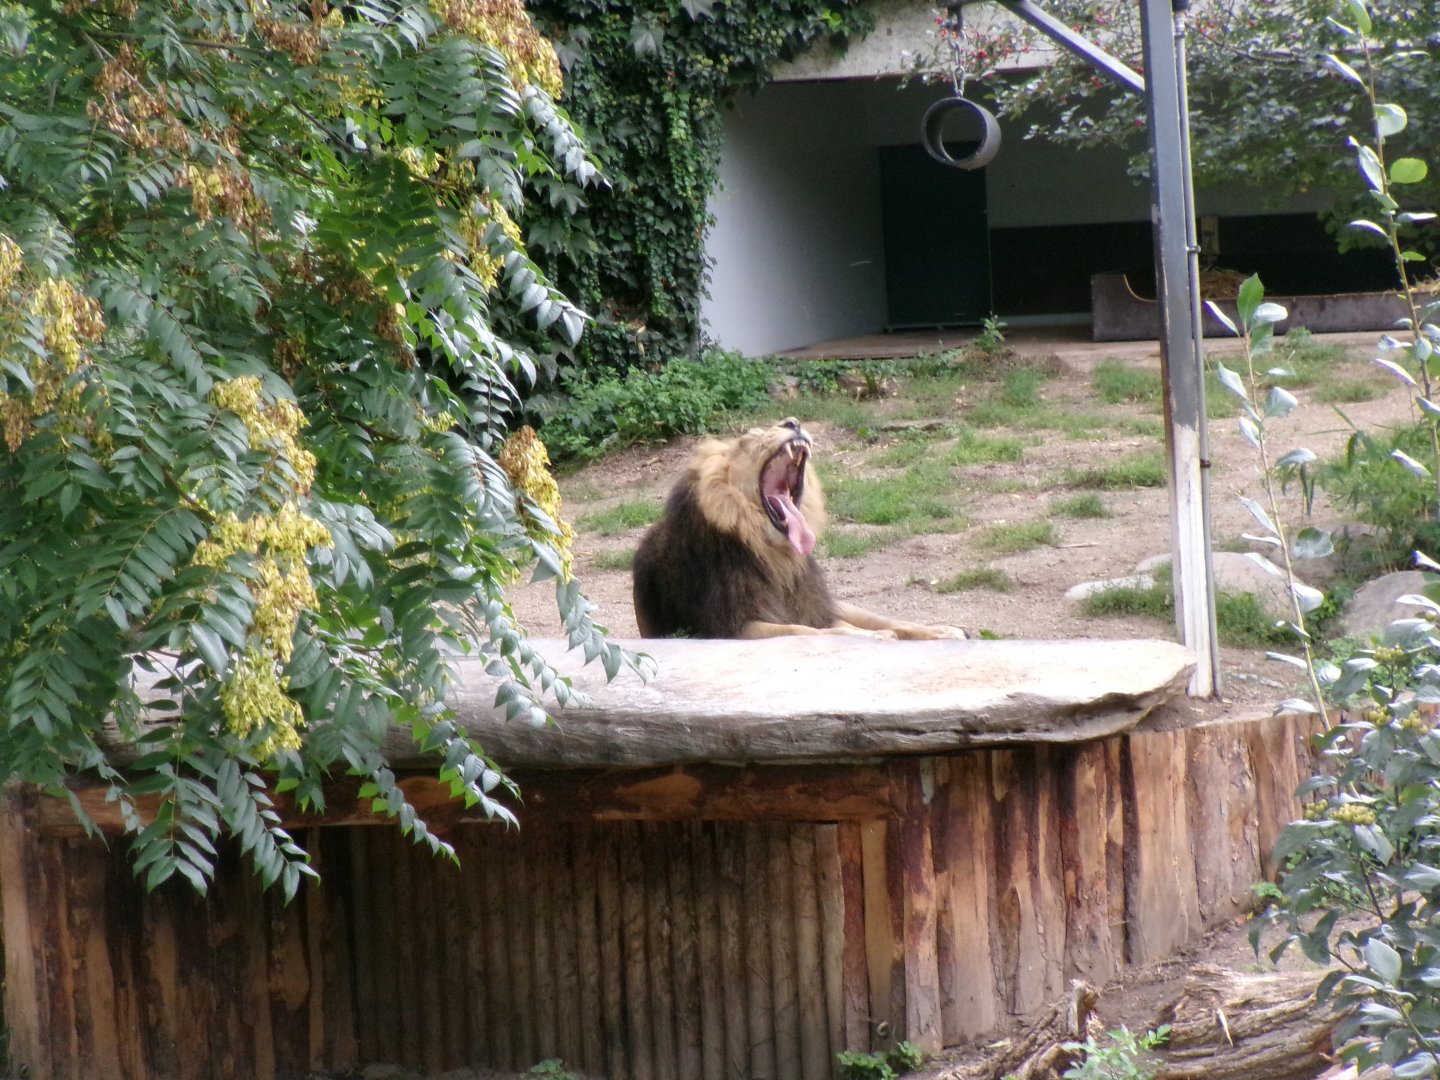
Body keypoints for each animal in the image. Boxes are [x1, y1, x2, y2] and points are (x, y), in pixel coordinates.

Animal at [631, 418, 966, 640]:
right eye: (747, 441)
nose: (792, 422)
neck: (775, 555)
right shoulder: (730, 626)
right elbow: (807, 631)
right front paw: (874, 638)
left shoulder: (815, 606)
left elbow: (829, 626)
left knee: (884, 618)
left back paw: (946, 631)